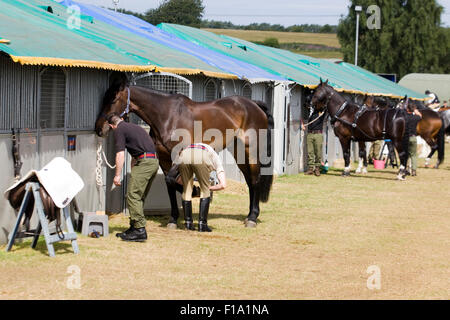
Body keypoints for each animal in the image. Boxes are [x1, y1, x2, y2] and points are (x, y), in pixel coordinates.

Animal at [94, 77, 274, 228]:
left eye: (113, 99)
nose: (99, 128)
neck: (167, 116)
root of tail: (254, 104)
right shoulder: (165, 160)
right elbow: (170, 184)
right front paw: (174, 218)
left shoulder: (179, 155)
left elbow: (172, 180)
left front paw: (194, 192)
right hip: (239, 152)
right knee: (250, 181)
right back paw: (249, 215)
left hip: (251, 151)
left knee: (255, 179)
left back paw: (252, 218)